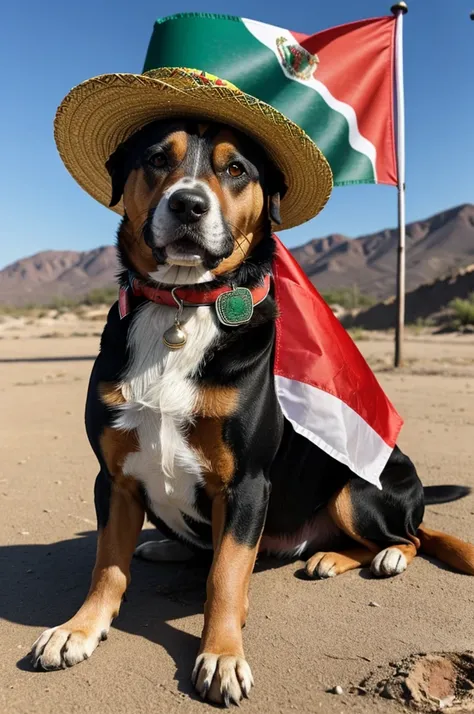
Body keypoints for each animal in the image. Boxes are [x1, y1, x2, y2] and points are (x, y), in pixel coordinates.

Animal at [30, 117, 474, 700]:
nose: (188, 205)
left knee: (415, 536)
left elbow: (225, 575)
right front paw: (79, 629)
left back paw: (375, 555)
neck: (181, 308)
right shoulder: (116, 477)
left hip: (357, 491)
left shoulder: (245, 483)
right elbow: (107, 565)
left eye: (236, 168)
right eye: (156, 158)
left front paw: (221, 654)